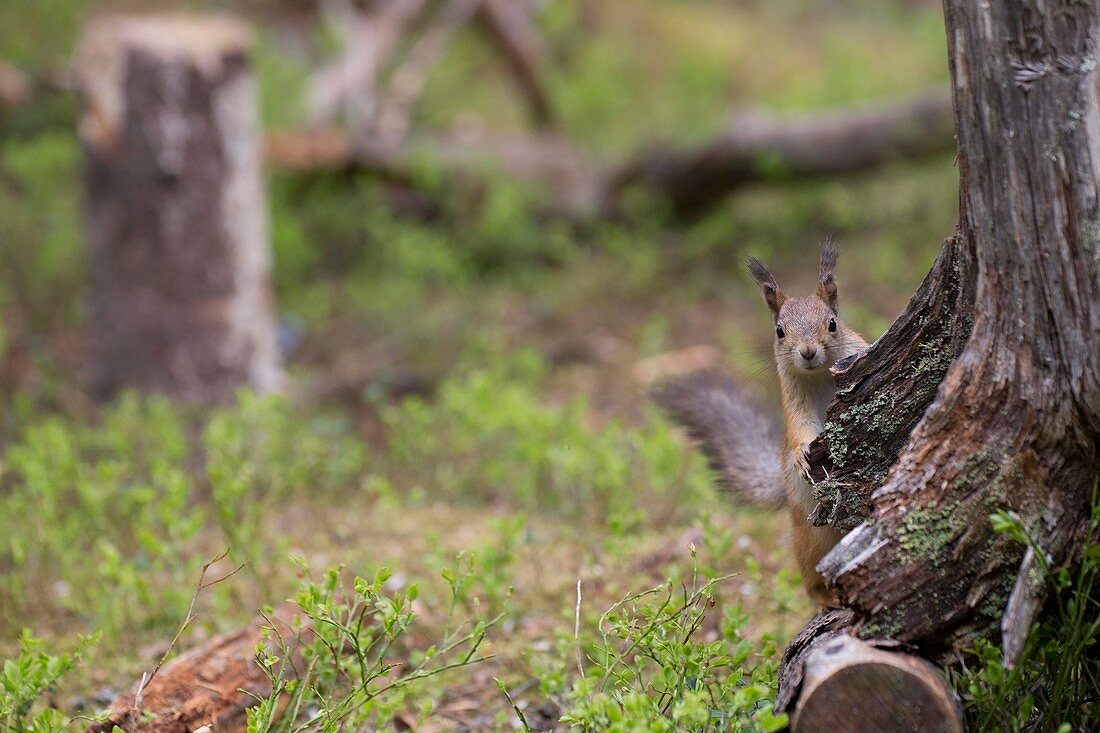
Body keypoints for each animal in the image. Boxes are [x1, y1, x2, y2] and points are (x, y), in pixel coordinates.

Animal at [651, 242, 866, 603]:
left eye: (833, 324)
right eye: (779, 331)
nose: (808, 352)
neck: (820, 376)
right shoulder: (793, 401)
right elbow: (799, 429)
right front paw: (799, 455)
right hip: (810, 536)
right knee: (810, 577)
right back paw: (822, 597)